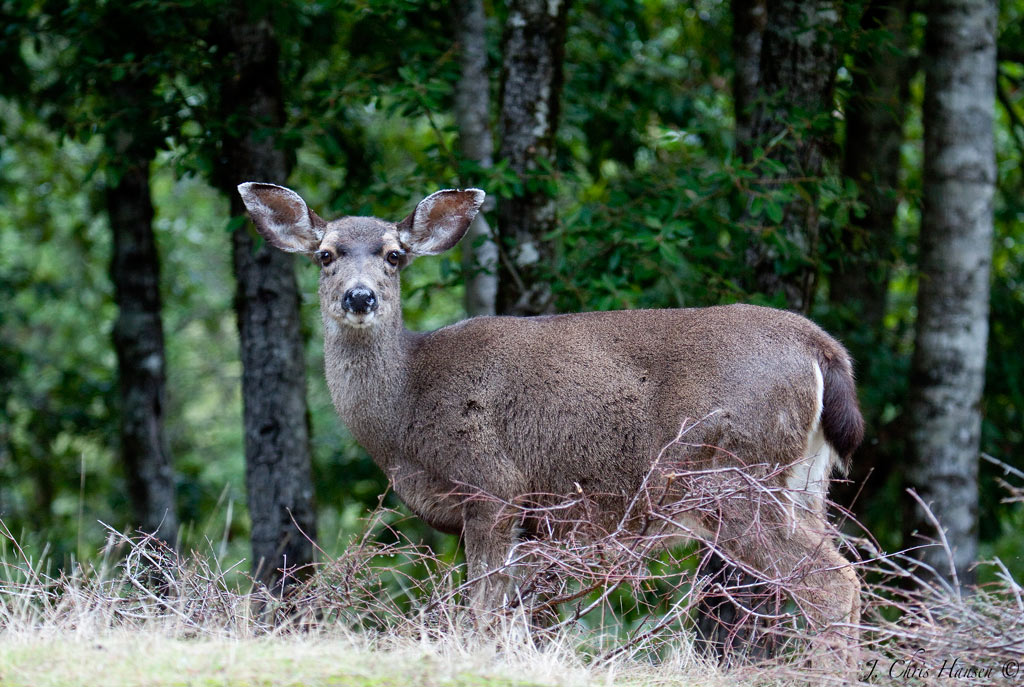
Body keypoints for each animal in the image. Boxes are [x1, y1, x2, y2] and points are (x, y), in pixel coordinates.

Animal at [237, 182, 864, 667]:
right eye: (325, 254)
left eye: (394, 255)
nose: (360, 296)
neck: (405, 414)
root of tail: (825, 350)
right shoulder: (536, 521)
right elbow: (520, 615)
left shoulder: (494, 486)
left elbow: (483, 611)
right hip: (803, 482)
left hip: (737, 476)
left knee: (832, 583)